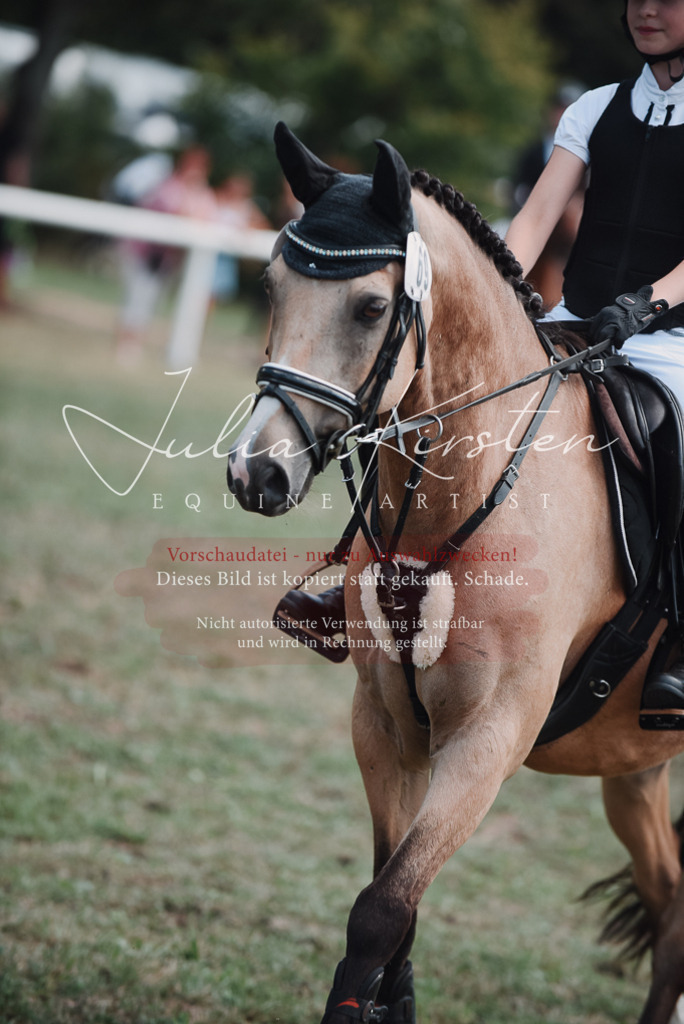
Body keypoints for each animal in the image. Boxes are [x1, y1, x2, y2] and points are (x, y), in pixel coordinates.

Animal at [226, 122, 684, 1024]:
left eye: (371, 308)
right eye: (270, 287)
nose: (256, 474)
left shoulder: (489, 737)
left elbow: (380, 913)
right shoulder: (386, 723)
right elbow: (392, 907)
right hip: (637, 767)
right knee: (673, 906)